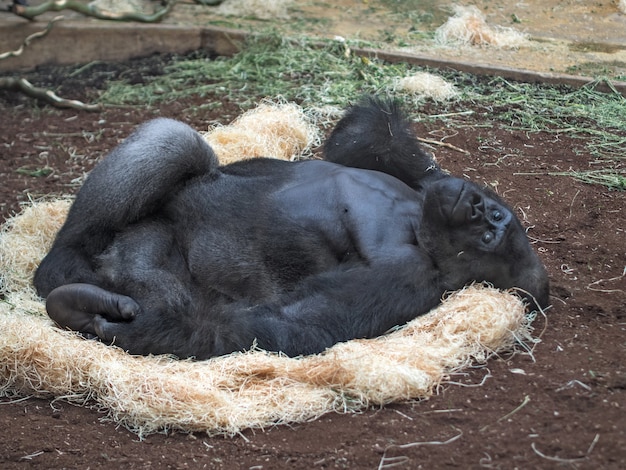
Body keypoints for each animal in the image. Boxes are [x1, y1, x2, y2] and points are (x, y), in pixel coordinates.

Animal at [33, 97, 544, 358]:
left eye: (489, 236)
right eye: (493, 217)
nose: (477, 208)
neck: (416, 219)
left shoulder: (409, 278)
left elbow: (284, 327)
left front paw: (124, 329)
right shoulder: (414, 182)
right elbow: (369, 137)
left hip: (136, 266)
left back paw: (67, 280)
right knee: (175, 145)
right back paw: (69, 254)